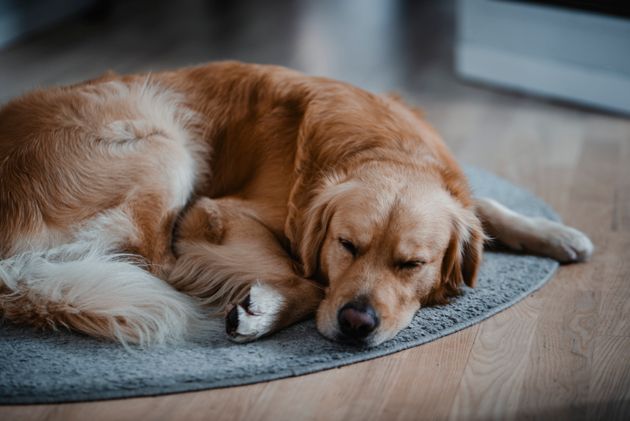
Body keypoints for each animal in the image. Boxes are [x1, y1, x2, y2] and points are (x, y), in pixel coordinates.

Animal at [0, 60, 596, 346]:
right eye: (345, 245)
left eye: (412, 264)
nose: (357, 323)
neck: (385, 147)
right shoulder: (217, 212)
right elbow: (308, 278)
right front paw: (264, 309)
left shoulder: (458, 195)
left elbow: (484, 207)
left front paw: (555, 233)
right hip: (163, 143)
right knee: (159, 262)